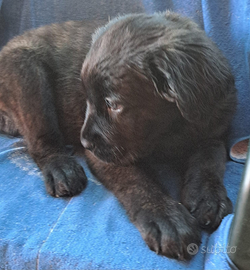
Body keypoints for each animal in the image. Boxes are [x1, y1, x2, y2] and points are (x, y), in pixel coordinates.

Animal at [0, 11, 236, 260]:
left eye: (112, 104)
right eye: (87, 97)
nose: (84, 142)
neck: (170, 129)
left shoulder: (213, 130)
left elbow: (210, 158)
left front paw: (208, 197)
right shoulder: (107, 154)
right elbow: (137, 181)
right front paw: (166, 217)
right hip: (27, 72)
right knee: (41, 141)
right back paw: (61, 169)